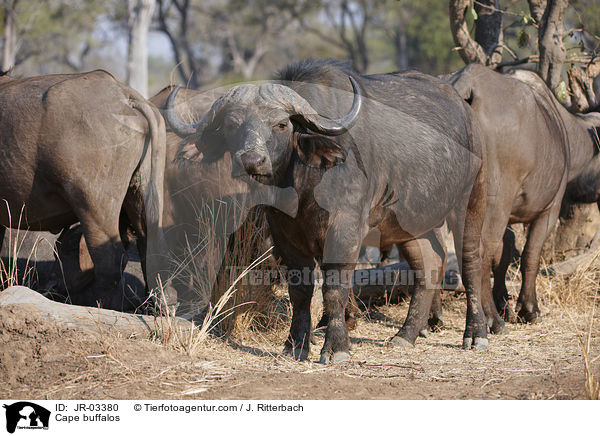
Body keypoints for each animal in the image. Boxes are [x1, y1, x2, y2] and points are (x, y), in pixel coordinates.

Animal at [165, 58, 488, 364]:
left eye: (281, 125)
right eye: (233, 125)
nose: (252, 161)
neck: (303, 184)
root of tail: (466, 110)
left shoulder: (344, 230)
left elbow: (334, 287)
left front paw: (336, 347)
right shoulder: (285, 236)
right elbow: (300, 290)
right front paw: (295, 345)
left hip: (470, 203)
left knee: (471, 262)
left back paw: (475, 334)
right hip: (408, 223)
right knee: (430, 261)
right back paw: (406, 334)